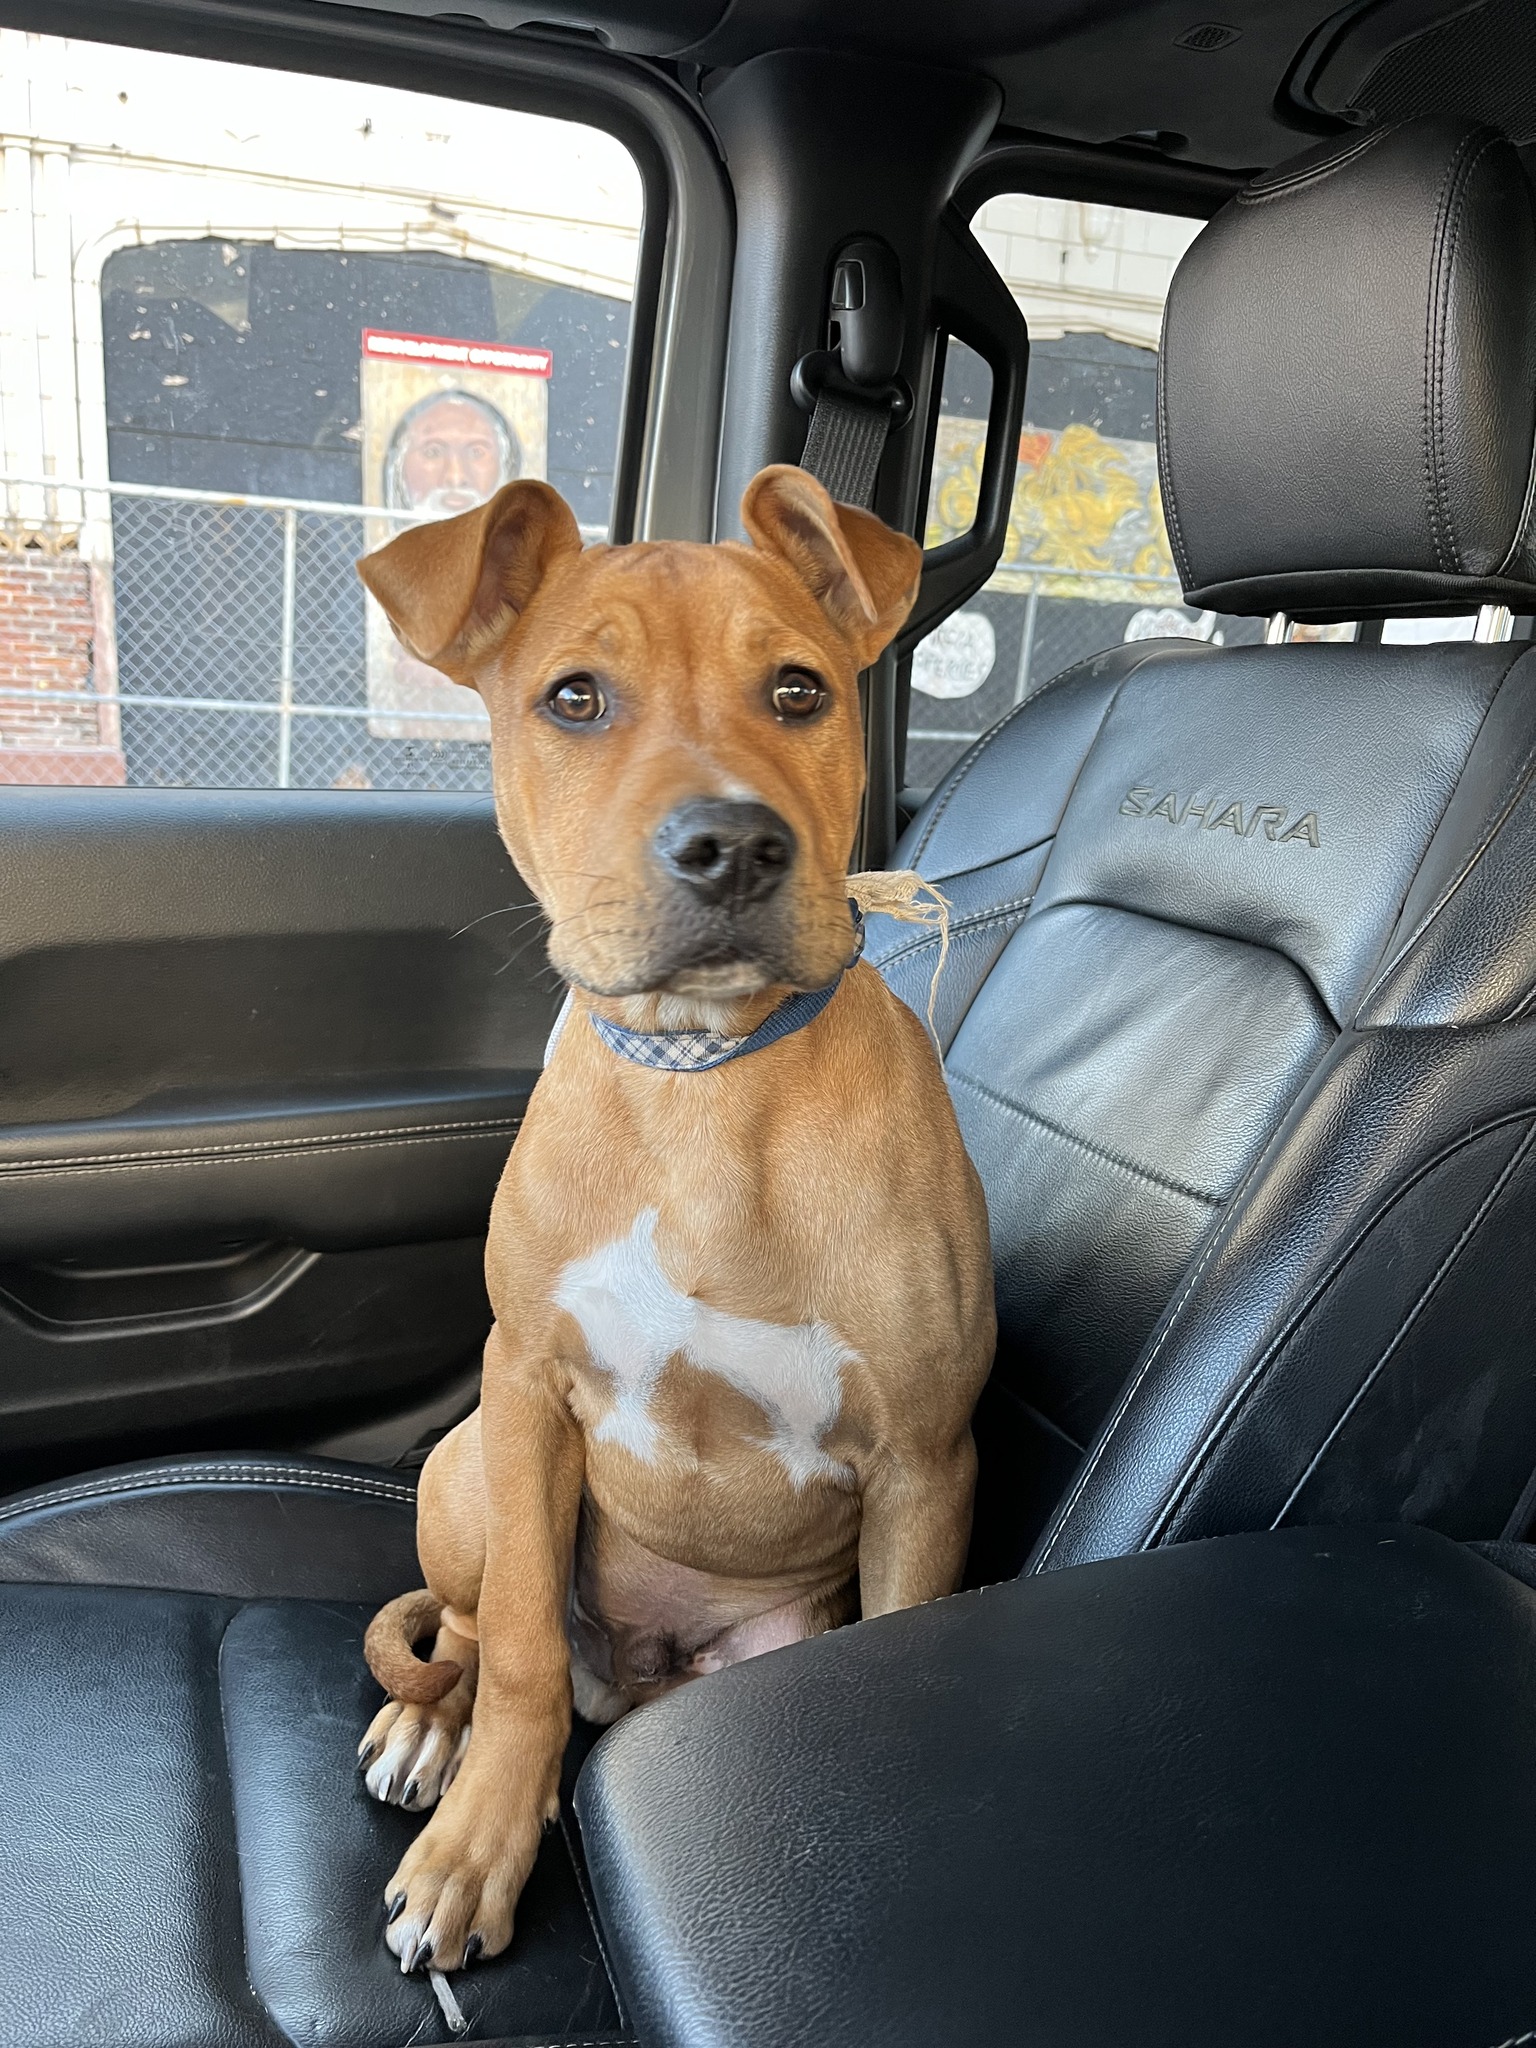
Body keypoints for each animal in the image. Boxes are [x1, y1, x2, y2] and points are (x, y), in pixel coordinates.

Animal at [354, 460, 999, 1966]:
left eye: (800, 690)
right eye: (575, 697)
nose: (734, 845)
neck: (707, 1089)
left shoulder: (925, 1464)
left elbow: (894, 1643)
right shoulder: (526, 1388)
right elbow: (523, 1655)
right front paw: (477, 1844)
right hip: (464, 1473)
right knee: (472, 1632)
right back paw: (428, 1728)